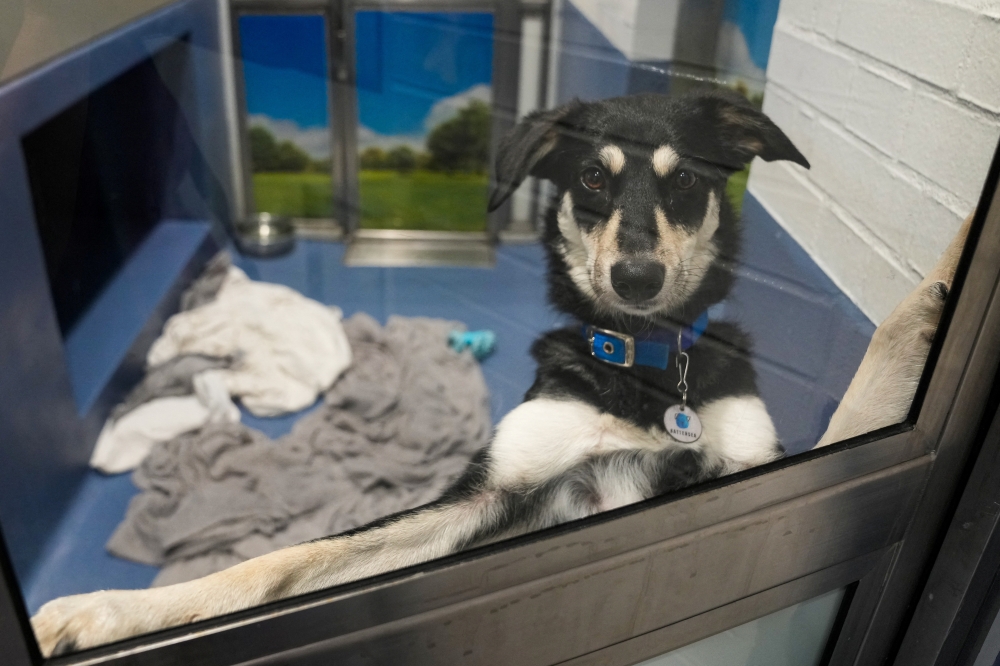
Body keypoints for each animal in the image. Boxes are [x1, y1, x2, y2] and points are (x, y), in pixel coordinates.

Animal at [31, 92, 968, 652]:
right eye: (591, 177)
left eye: (687, 183)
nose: (636, 279)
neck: (643, 372)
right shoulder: (495, 496)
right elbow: (280, 563)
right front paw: (106, 613)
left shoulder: (758, 469)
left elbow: (866, 396)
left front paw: (953, 265)